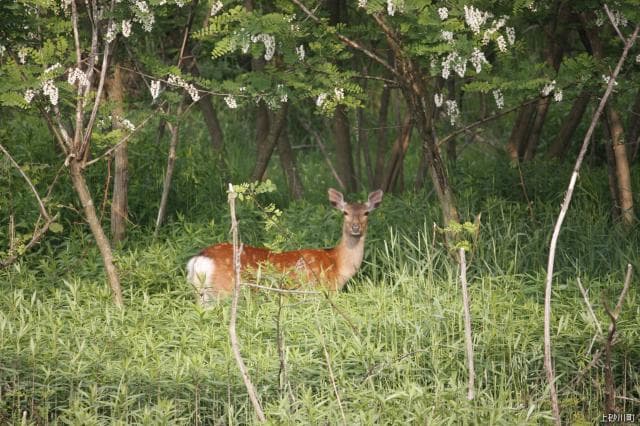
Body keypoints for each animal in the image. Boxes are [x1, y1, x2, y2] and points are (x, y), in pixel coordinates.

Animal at [186, 188, 383, 305]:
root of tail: (199, 260)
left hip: (202, 294)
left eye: (366, 213)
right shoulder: (320, 292)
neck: (337, 265)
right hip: (223, 290)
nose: (356, 227)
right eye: (345, 212)